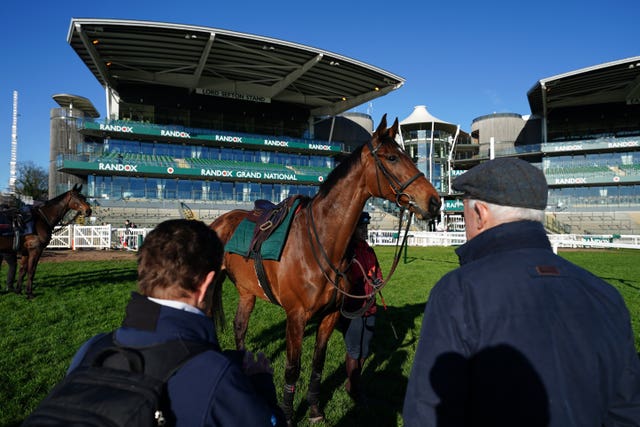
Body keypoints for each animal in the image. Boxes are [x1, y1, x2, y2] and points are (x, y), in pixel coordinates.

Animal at [212, 115, 442, 426]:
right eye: (393, 157)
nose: (435, 201)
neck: (318, 242)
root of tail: (219, 221)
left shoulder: (329, 317)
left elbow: (317, 365)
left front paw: (314, 409)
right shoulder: (296, 317)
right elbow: (292, 368)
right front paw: (288, 415)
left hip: (247, 292)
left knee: (240, 328)